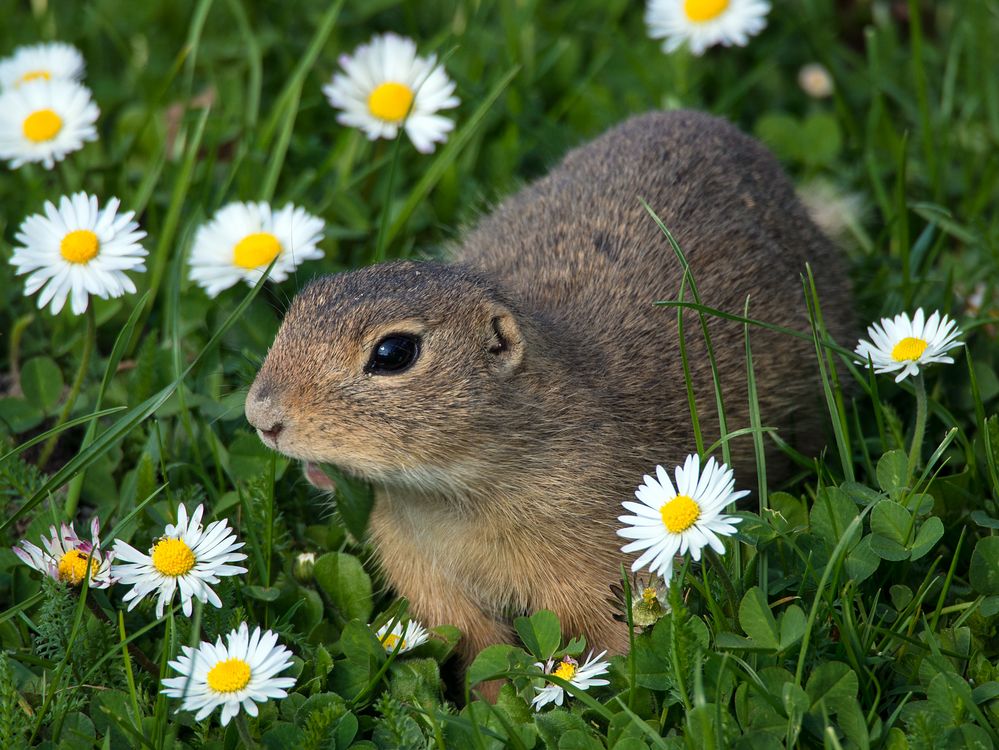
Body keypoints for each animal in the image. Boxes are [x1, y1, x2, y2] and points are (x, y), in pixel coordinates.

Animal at [246, 113, 856, 680]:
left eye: (394, 353)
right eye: (300, 305)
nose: (261, 416)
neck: (452, 494)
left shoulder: (603, 564)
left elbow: (614, 650)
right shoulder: (431, 585)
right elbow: (482, 658)